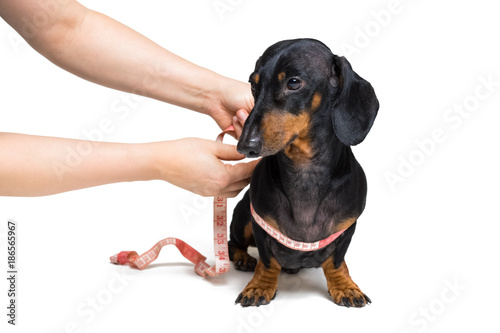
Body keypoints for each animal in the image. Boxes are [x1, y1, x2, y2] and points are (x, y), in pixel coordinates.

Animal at [229, 38, 376, 306]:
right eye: (254, 84)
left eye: (294, 83)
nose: (245, 146)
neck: (305, 169)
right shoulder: (259, 222)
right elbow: (267, 261)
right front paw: (259, 286)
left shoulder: (347, 227)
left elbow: (336, 261)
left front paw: (345, 286)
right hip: (242, 216)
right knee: (232, 242)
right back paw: (243, 258)